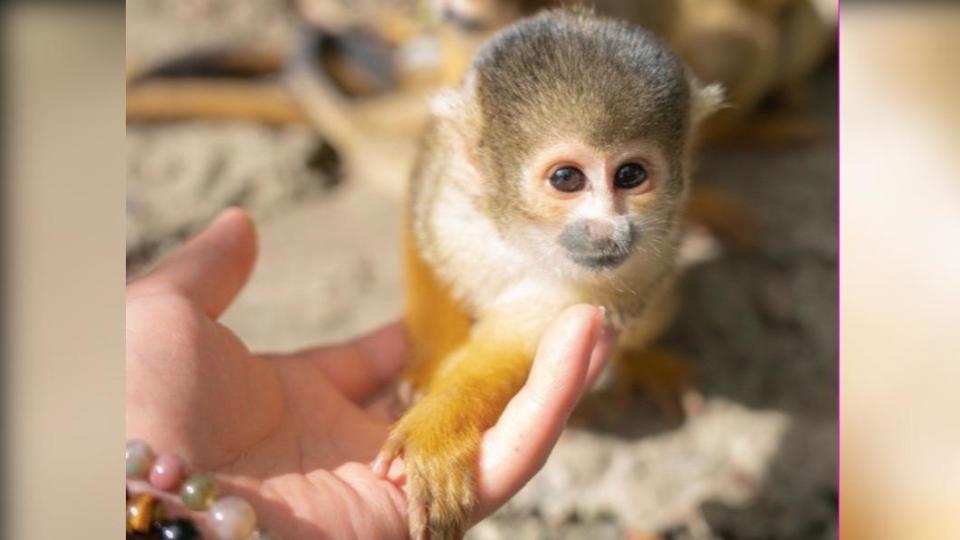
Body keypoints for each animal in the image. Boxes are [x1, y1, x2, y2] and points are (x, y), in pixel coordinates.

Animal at [374, 9, 720, 540]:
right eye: (566, 178)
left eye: (630, 175)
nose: (607, 231)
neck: (524, 236)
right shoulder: (445, 181)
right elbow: (422, 237)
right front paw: (426, 367)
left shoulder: (633, 264)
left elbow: (522, 336)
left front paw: (438, 427)